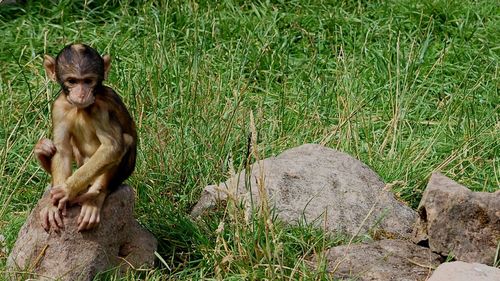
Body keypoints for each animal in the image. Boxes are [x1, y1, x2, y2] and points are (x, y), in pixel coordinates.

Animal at [35, 43, 137, 231]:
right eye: (72, 81)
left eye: (88, 81)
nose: (82, 93)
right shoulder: (59, 106)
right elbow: (62, 150)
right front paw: (54, 206)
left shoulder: (100, 107)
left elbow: (112, 146)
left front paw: (67, 190)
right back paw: (42, 149)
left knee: (125, 141)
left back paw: (94, 197)